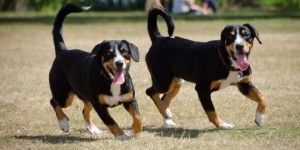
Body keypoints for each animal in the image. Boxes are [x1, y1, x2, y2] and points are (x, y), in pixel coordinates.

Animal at [49, 3, 142, 141]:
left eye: (124, 51)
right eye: (109, 53)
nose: (119, 63)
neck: (110, 81)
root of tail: (63, 51)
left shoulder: (130, 99)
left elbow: (138, 117)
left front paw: (135, 131)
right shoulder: (99, 106)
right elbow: (111, 121)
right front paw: (121, 135)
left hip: (86, 97)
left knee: (84, 111)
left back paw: (93, 129)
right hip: (64, 96)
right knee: (54, 102)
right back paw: (63, 123)